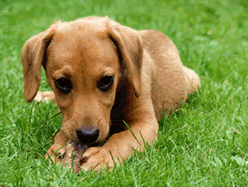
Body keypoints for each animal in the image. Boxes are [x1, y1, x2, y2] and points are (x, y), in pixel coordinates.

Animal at [20, 16, 200, 172]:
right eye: (62, 82)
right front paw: (59, 147)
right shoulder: (69, 121)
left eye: (107, 80)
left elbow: (124, 138)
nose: (88, 135)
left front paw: (103, 156)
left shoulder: (146, 123)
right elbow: (64, 130)